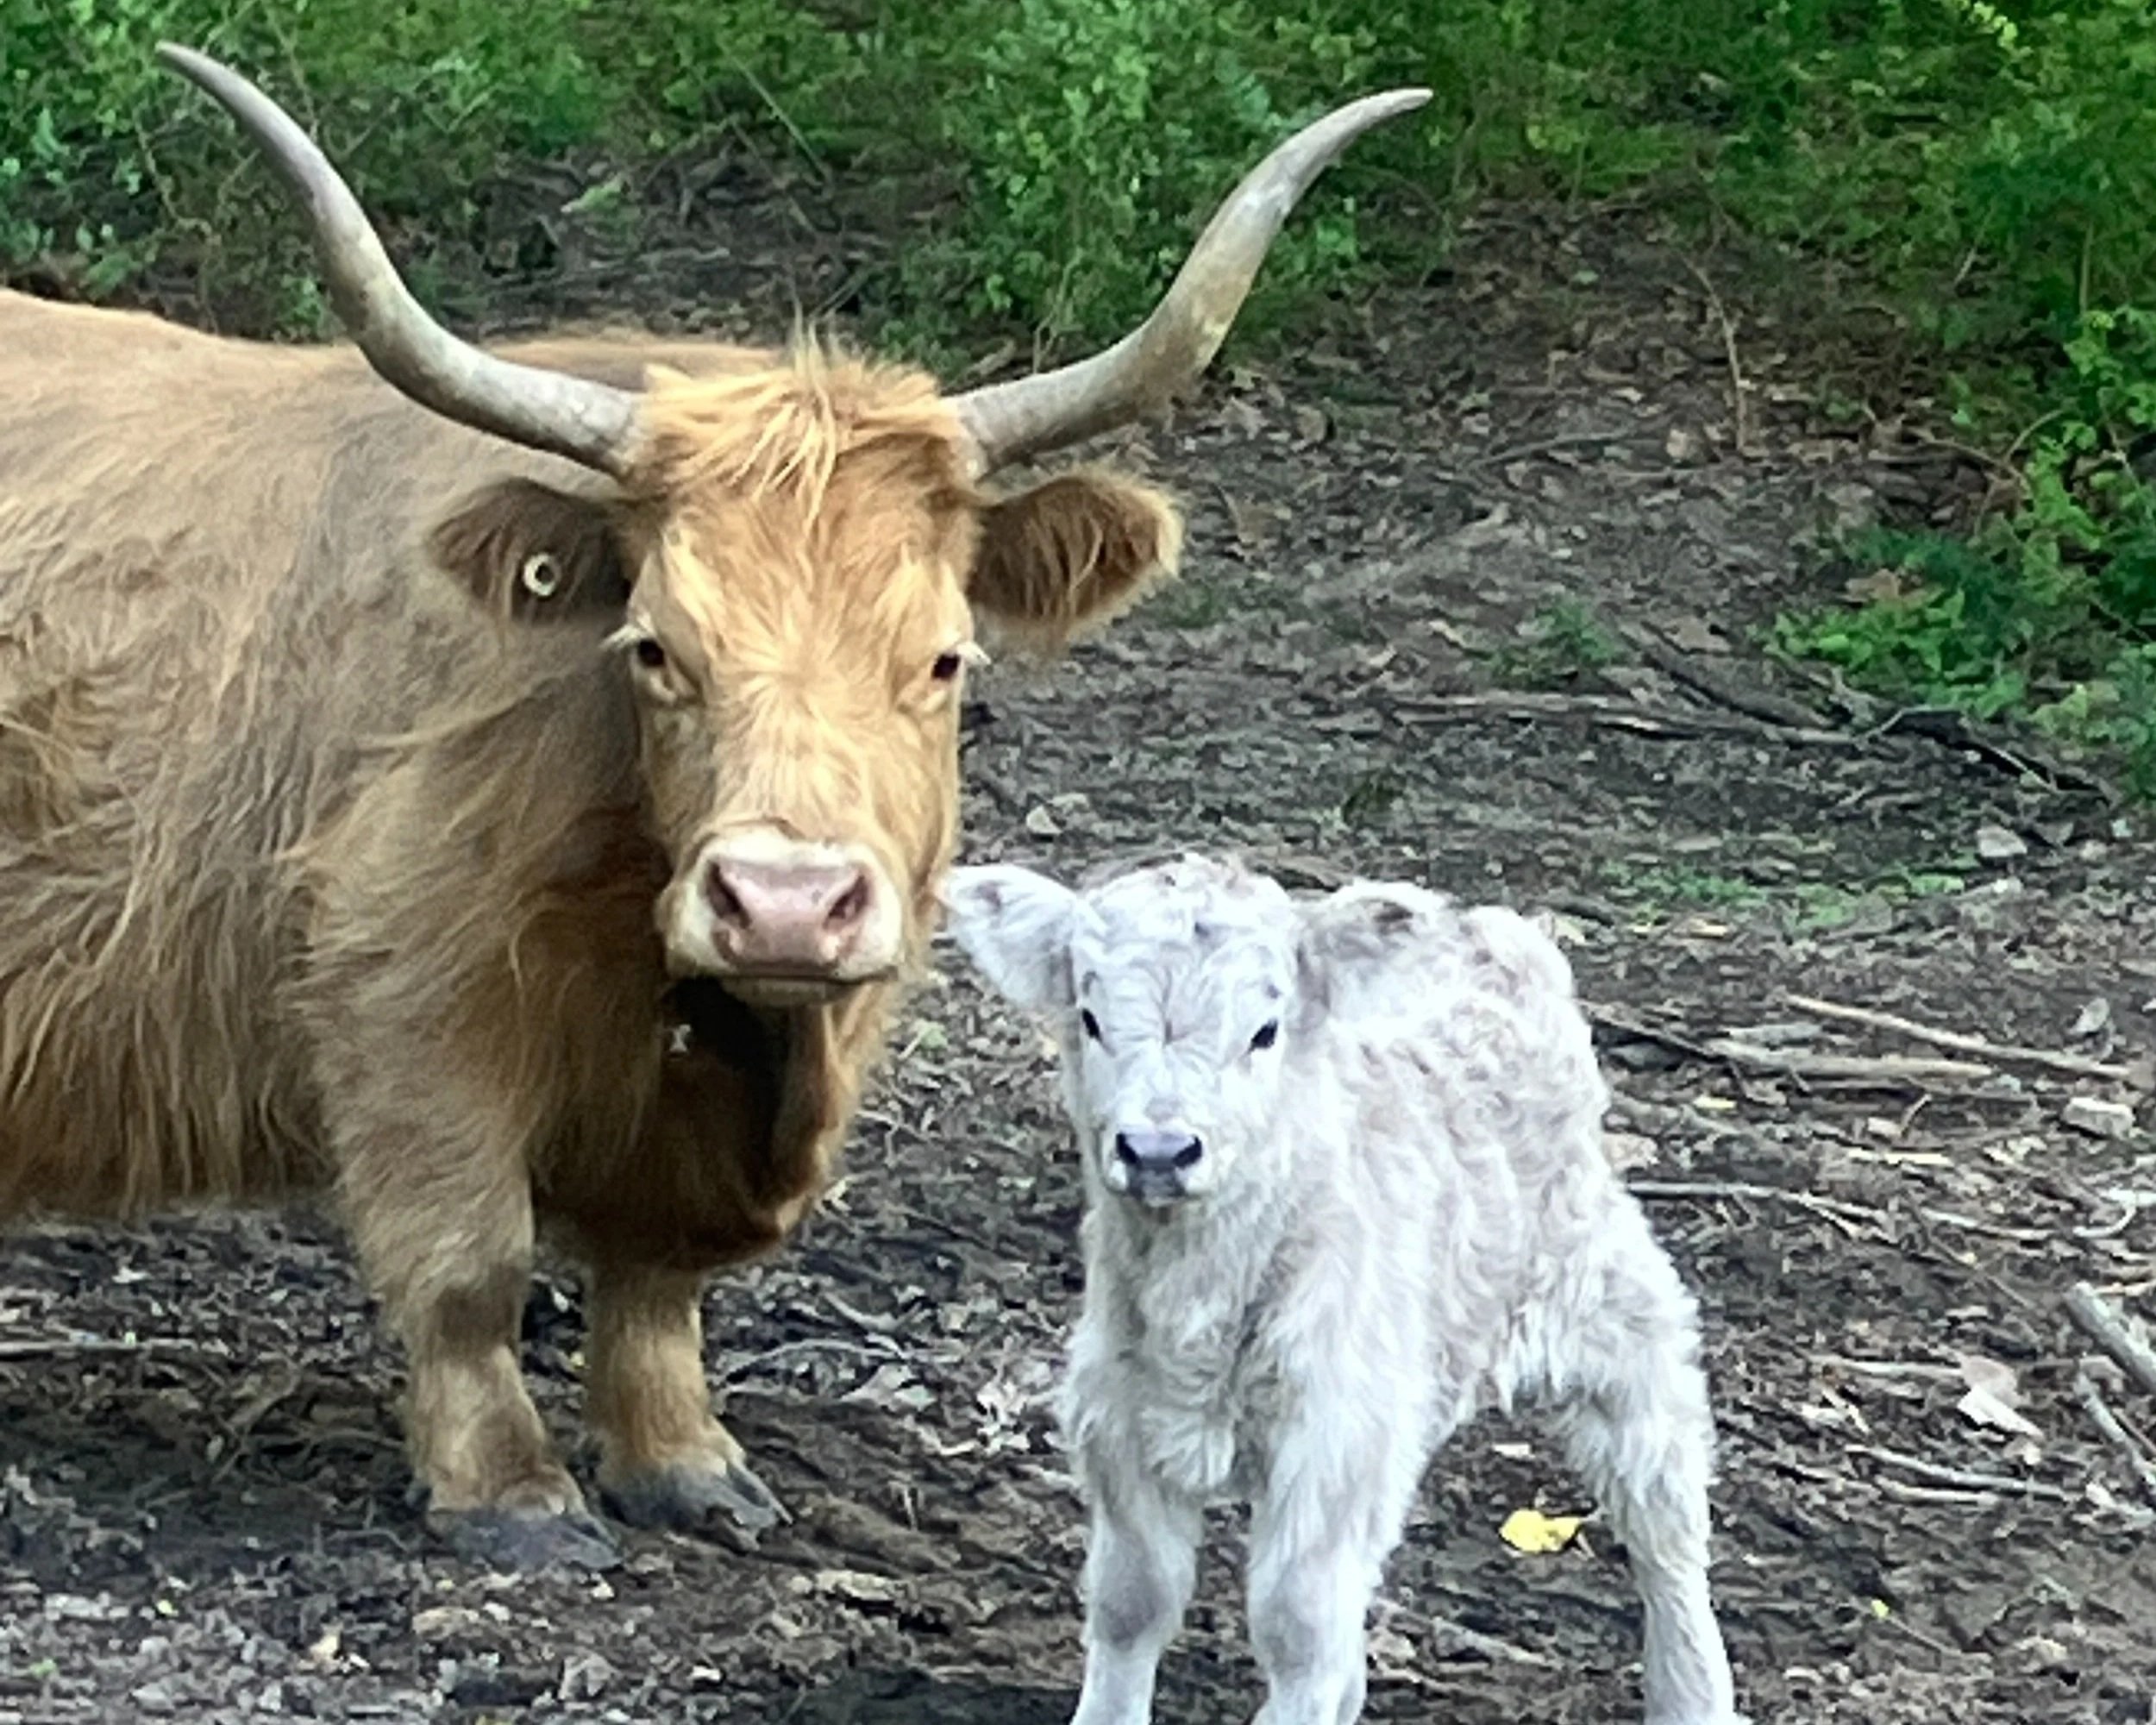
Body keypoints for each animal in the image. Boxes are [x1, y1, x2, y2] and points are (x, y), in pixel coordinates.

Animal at [0, 46, 1428, 1570]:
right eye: (656, 649)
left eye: (943, 658)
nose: (786, 904)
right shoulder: (404, 987)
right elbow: (467, 1262)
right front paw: (507, 1491)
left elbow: (660, 1276)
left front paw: (684, 1464)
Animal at [941, 854, 1743, 1725]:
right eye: (1088, 1018)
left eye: (1264, 1031)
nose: (1158, 1150)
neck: (1197, 1293)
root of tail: (1487, 929)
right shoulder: (1119, 1413)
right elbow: (1132, 1601)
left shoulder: (1333, 1435)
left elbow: (1297, 1623)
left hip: (1617, 1310)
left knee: (1666, 1529)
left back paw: (1694, 1691)